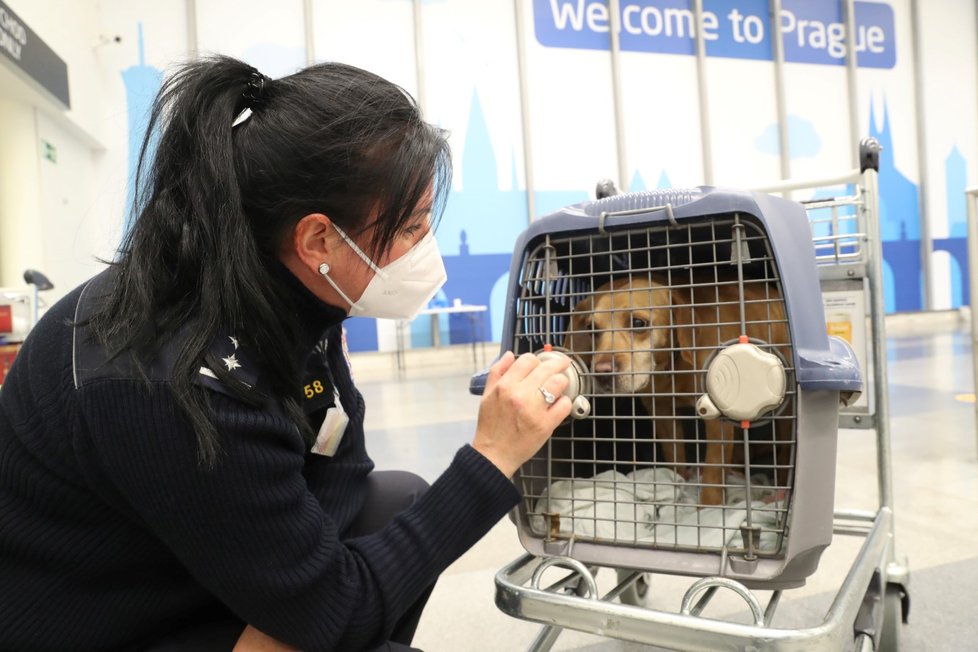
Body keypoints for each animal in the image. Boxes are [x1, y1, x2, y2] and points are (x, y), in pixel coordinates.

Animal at [560, 274, 788, 504]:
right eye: (592, 329)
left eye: (638, 323)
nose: (602, 372)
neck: (672, 367)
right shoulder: (662, 413)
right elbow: (675, 455)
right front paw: (678, 486)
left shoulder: (716, 420)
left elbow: (714, 465)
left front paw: (710, 505)